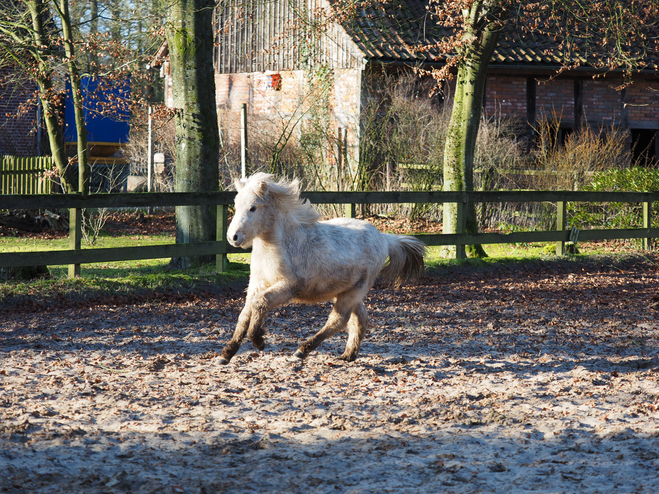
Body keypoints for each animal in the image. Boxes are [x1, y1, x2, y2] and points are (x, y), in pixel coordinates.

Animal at [220, 173, 428, 362]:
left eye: (253, 208)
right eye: (236, 205)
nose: (233, 237)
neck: (282, 245)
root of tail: (385, 239)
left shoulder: (288, 287)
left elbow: (260, 303)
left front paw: (258, 340)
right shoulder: (257, 284)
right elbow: (244, 314)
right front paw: (227, 353)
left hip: (354, 291)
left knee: (338, 320)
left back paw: (302, 351)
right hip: (347, 291)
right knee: (359, 319)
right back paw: (348, 355)